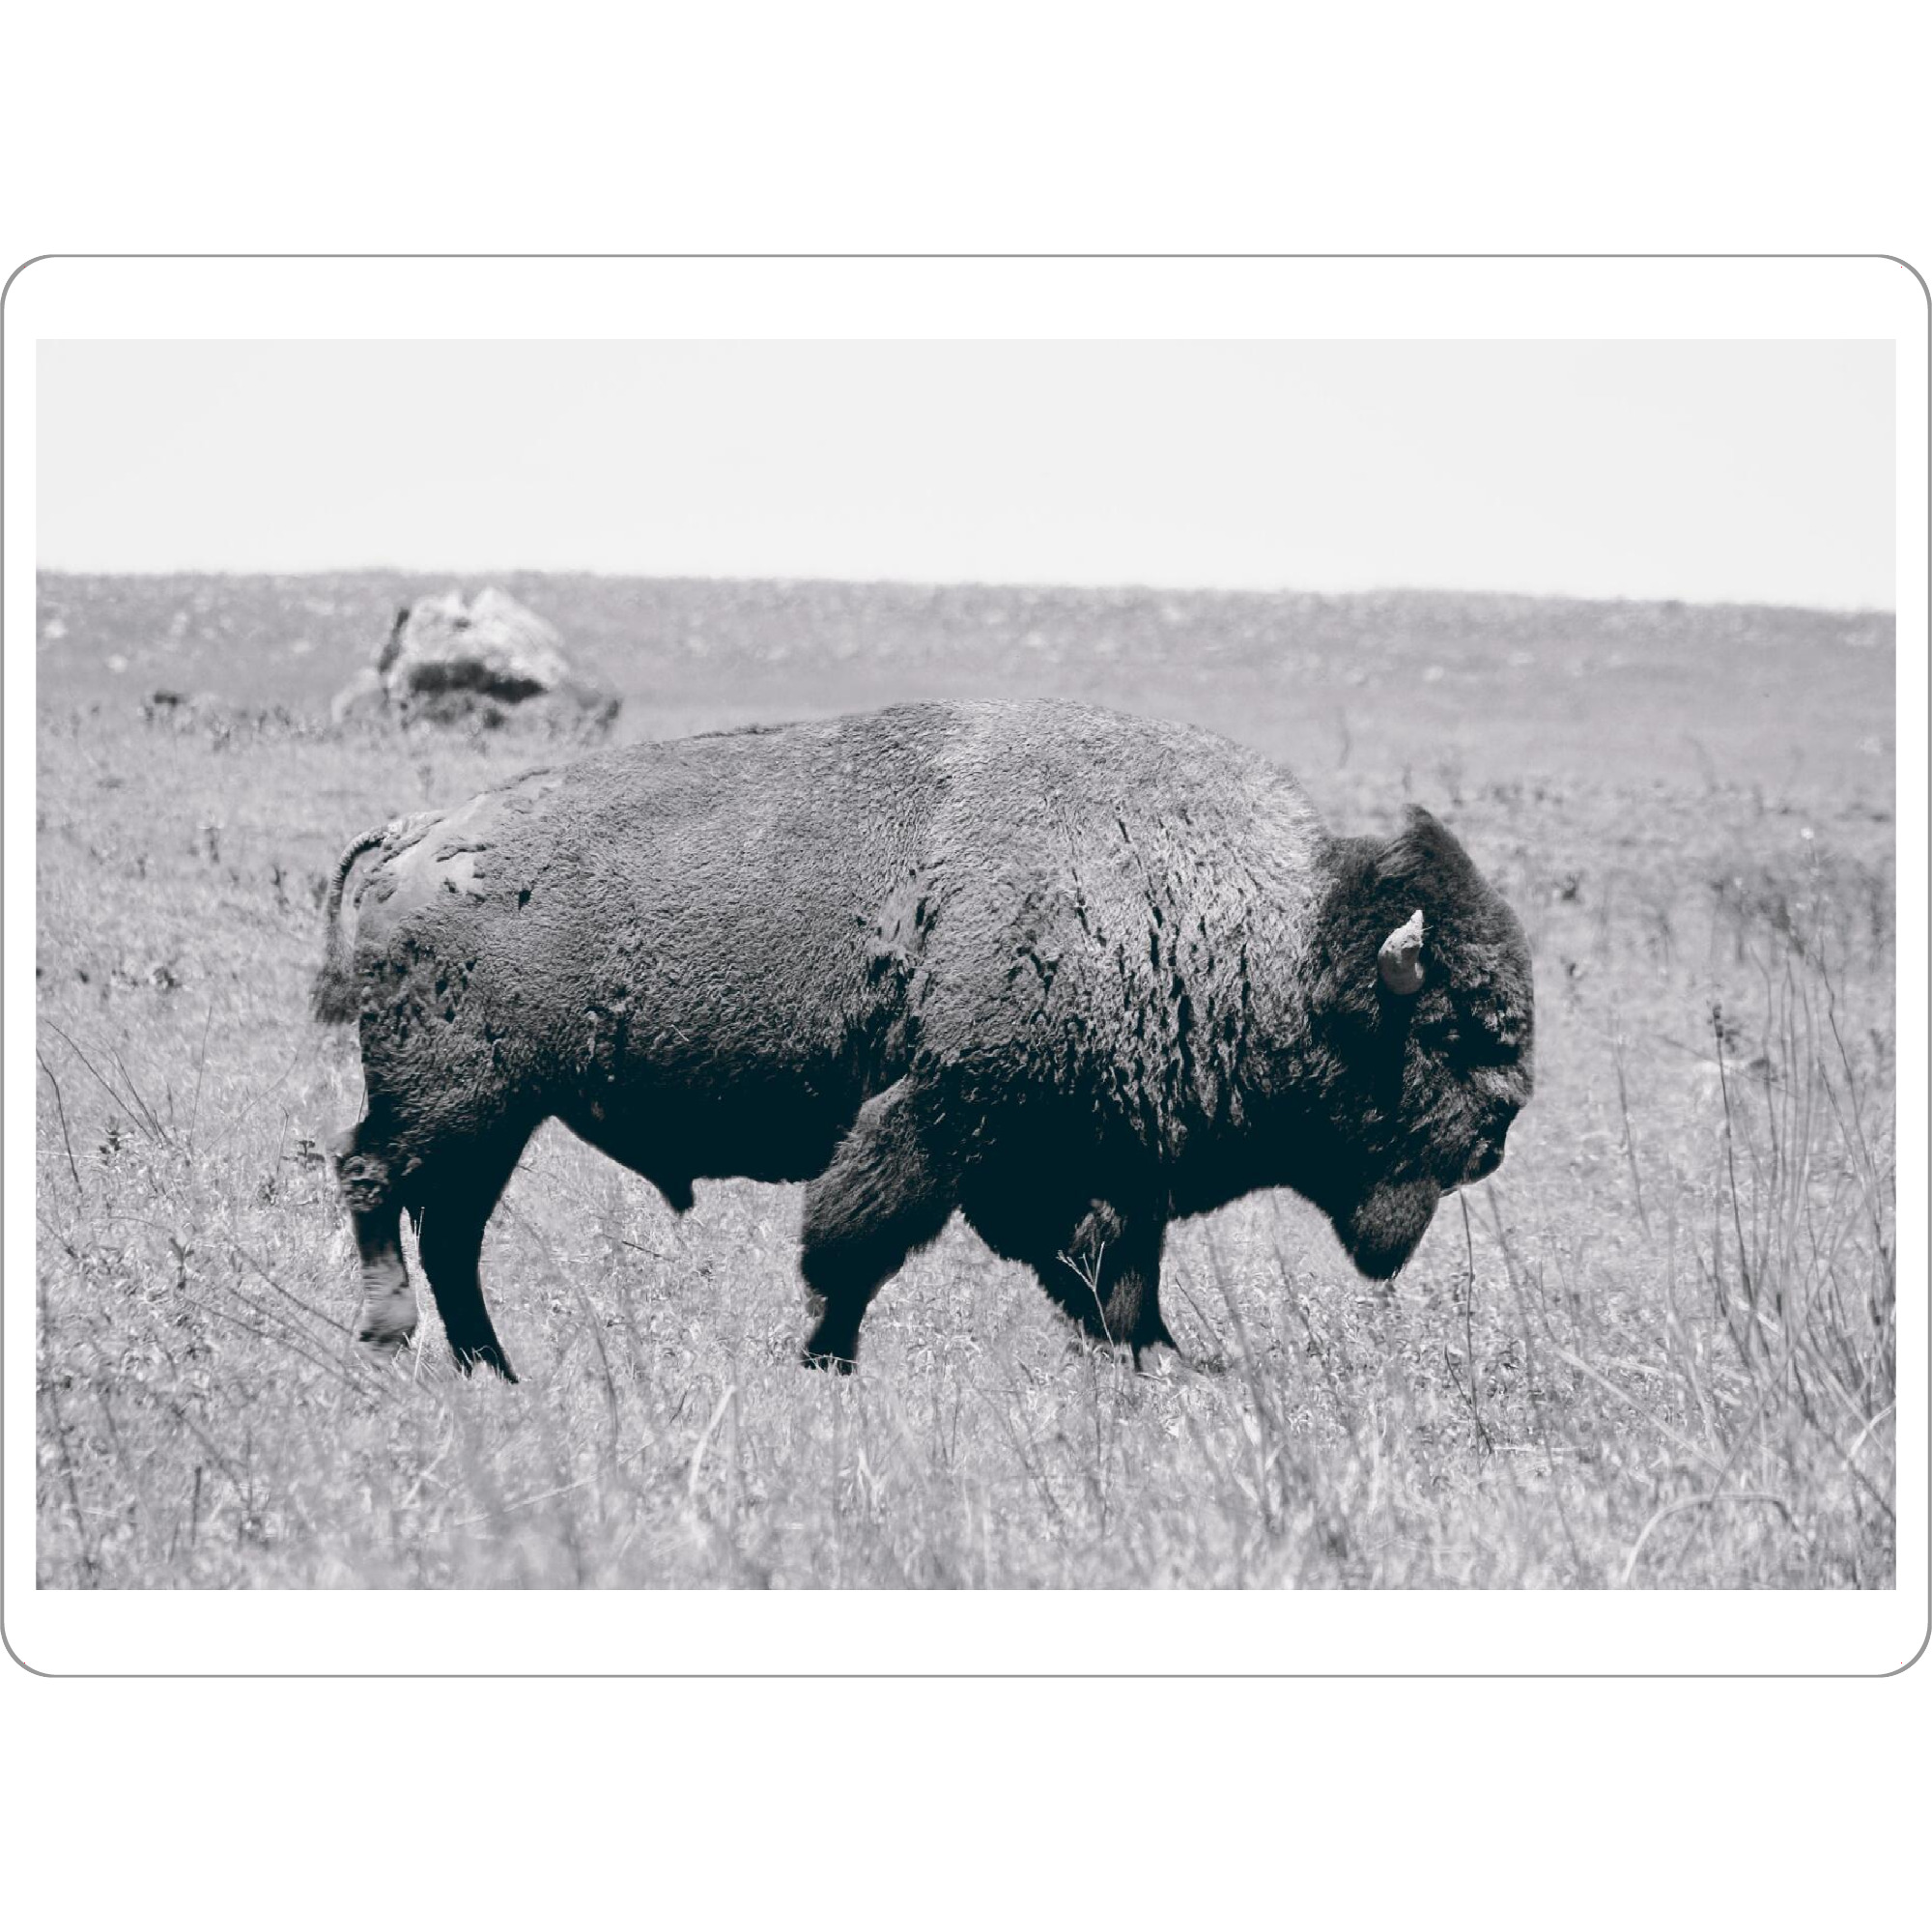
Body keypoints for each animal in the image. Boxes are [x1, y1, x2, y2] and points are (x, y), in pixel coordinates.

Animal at [313, 699, 1533, 1379]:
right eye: (1446, 1026)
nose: (1503, 1124)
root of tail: (421, 834)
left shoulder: (1089, 1166)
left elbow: (1111, 1277)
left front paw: (1165, 1362)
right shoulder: (942, 1121)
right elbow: (851, 1248)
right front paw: (825, 1362)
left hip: (499, 1115)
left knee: (446, 1224)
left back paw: (491, 1370)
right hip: (461, 1096)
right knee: (376, 1176)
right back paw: (392, 1336)